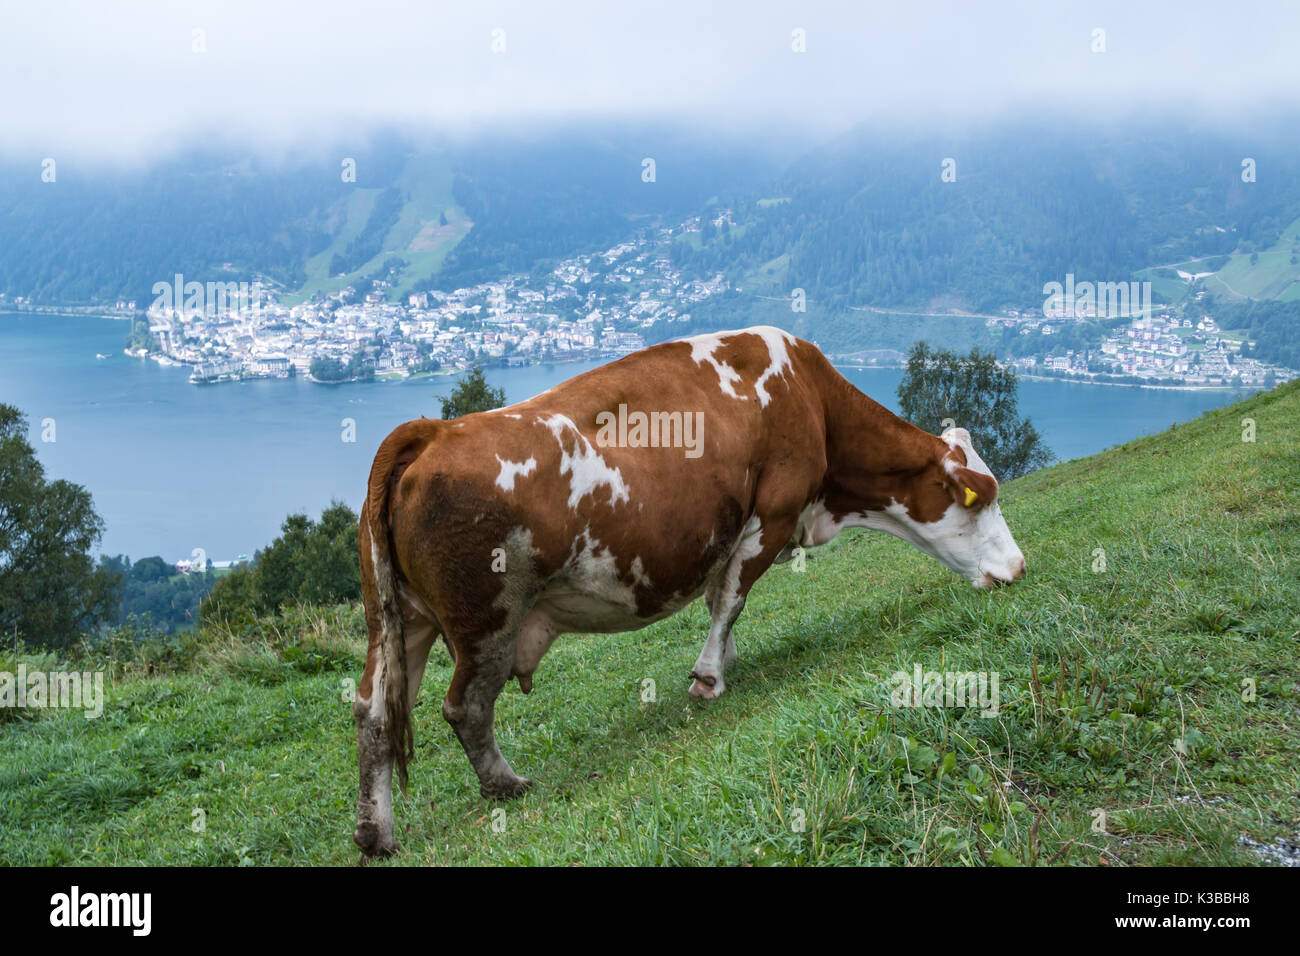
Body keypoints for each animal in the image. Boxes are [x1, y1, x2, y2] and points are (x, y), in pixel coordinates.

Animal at [353, 325, 1024, 858]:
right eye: (983, 498)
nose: (1017, 568)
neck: (810, 399)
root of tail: (430, 434)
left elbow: (719, 601)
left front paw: (725, 659)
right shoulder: (772, 512)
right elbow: (731, 599)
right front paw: (708, 676)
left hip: (398, 623)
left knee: (374, 712)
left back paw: (375, 833)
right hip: (487, 619)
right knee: (464, 706)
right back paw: (505, 785)